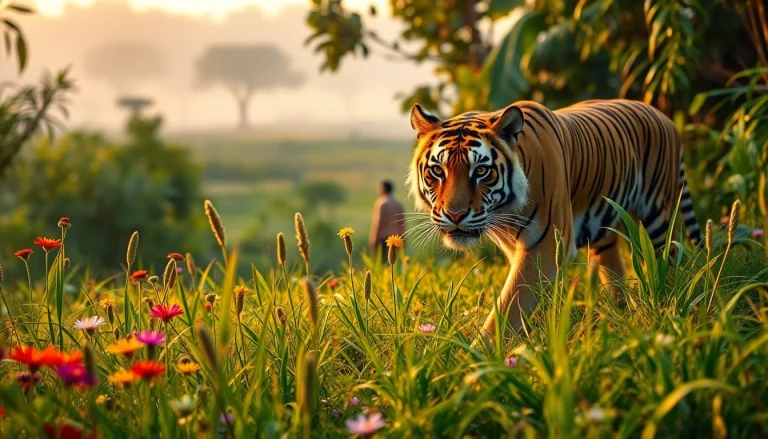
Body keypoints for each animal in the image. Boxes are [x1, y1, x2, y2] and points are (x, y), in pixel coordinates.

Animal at [407, 99, 702, 337]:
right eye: (437, 171)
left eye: (481, 171)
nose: (455, 214)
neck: (502, 213)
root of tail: (666, 118)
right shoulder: (518, 250)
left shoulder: (545, 246)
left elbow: (511, 303)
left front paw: (482, 356)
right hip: (605, 231)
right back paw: (623, 314)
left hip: (660, 220)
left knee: (669, 262)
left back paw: (668, 309)